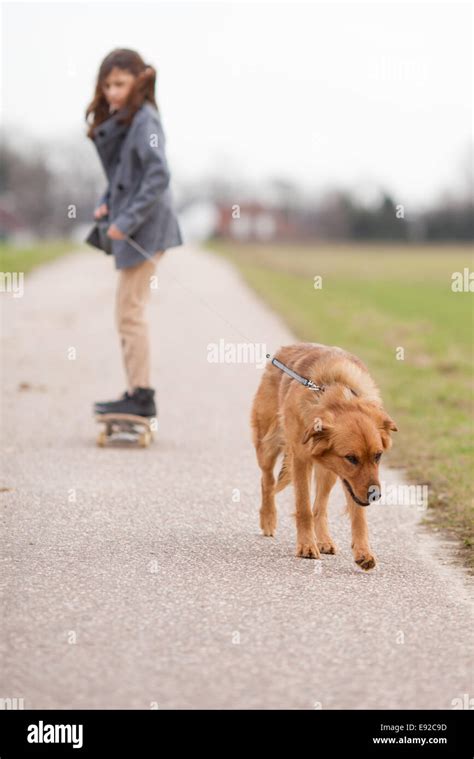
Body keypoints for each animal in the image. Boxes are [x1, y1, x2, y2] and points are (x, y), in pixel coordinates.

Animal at [250, 344, 398, 568]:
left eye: (378, 455)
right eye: (351, 458)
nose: (375, 495)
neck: (336, 394)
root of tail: (285, 349)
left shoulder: (352, 484)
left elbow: (358, 516)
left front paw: (363, 551)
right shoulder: (301, 460)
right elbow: (303, 508)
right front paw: (306, 545)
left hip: (329, 473)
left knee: (319, 507)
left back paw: (324, 540)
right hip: (268, 445)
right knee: (267, 480)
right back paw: (268, 518)